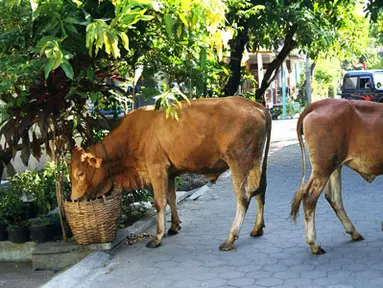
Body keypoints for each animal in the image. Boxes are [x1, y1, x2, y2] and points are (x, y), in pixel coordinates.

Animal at [70, 96, 272, 250]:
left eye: (80, 173)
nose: (73, 198)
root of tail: (257, 105)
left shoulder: (156, 168)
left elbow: (159, 202)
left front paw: (157, 237)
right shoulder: (170, 172)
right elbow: (171, 198)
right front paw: (174, 226)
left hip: (239, 161)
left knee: (243, 197)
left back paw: (230, 239)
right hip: (256, 161)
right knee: (260, 190)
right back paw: (257, 229)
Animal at [292, 98, 383, 254]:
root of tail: (319, 104)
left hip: (334, 165)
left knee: (333, 197)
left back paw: (353, 232)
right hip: (323, 167)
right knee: (310, 197)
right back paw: (314, 244)